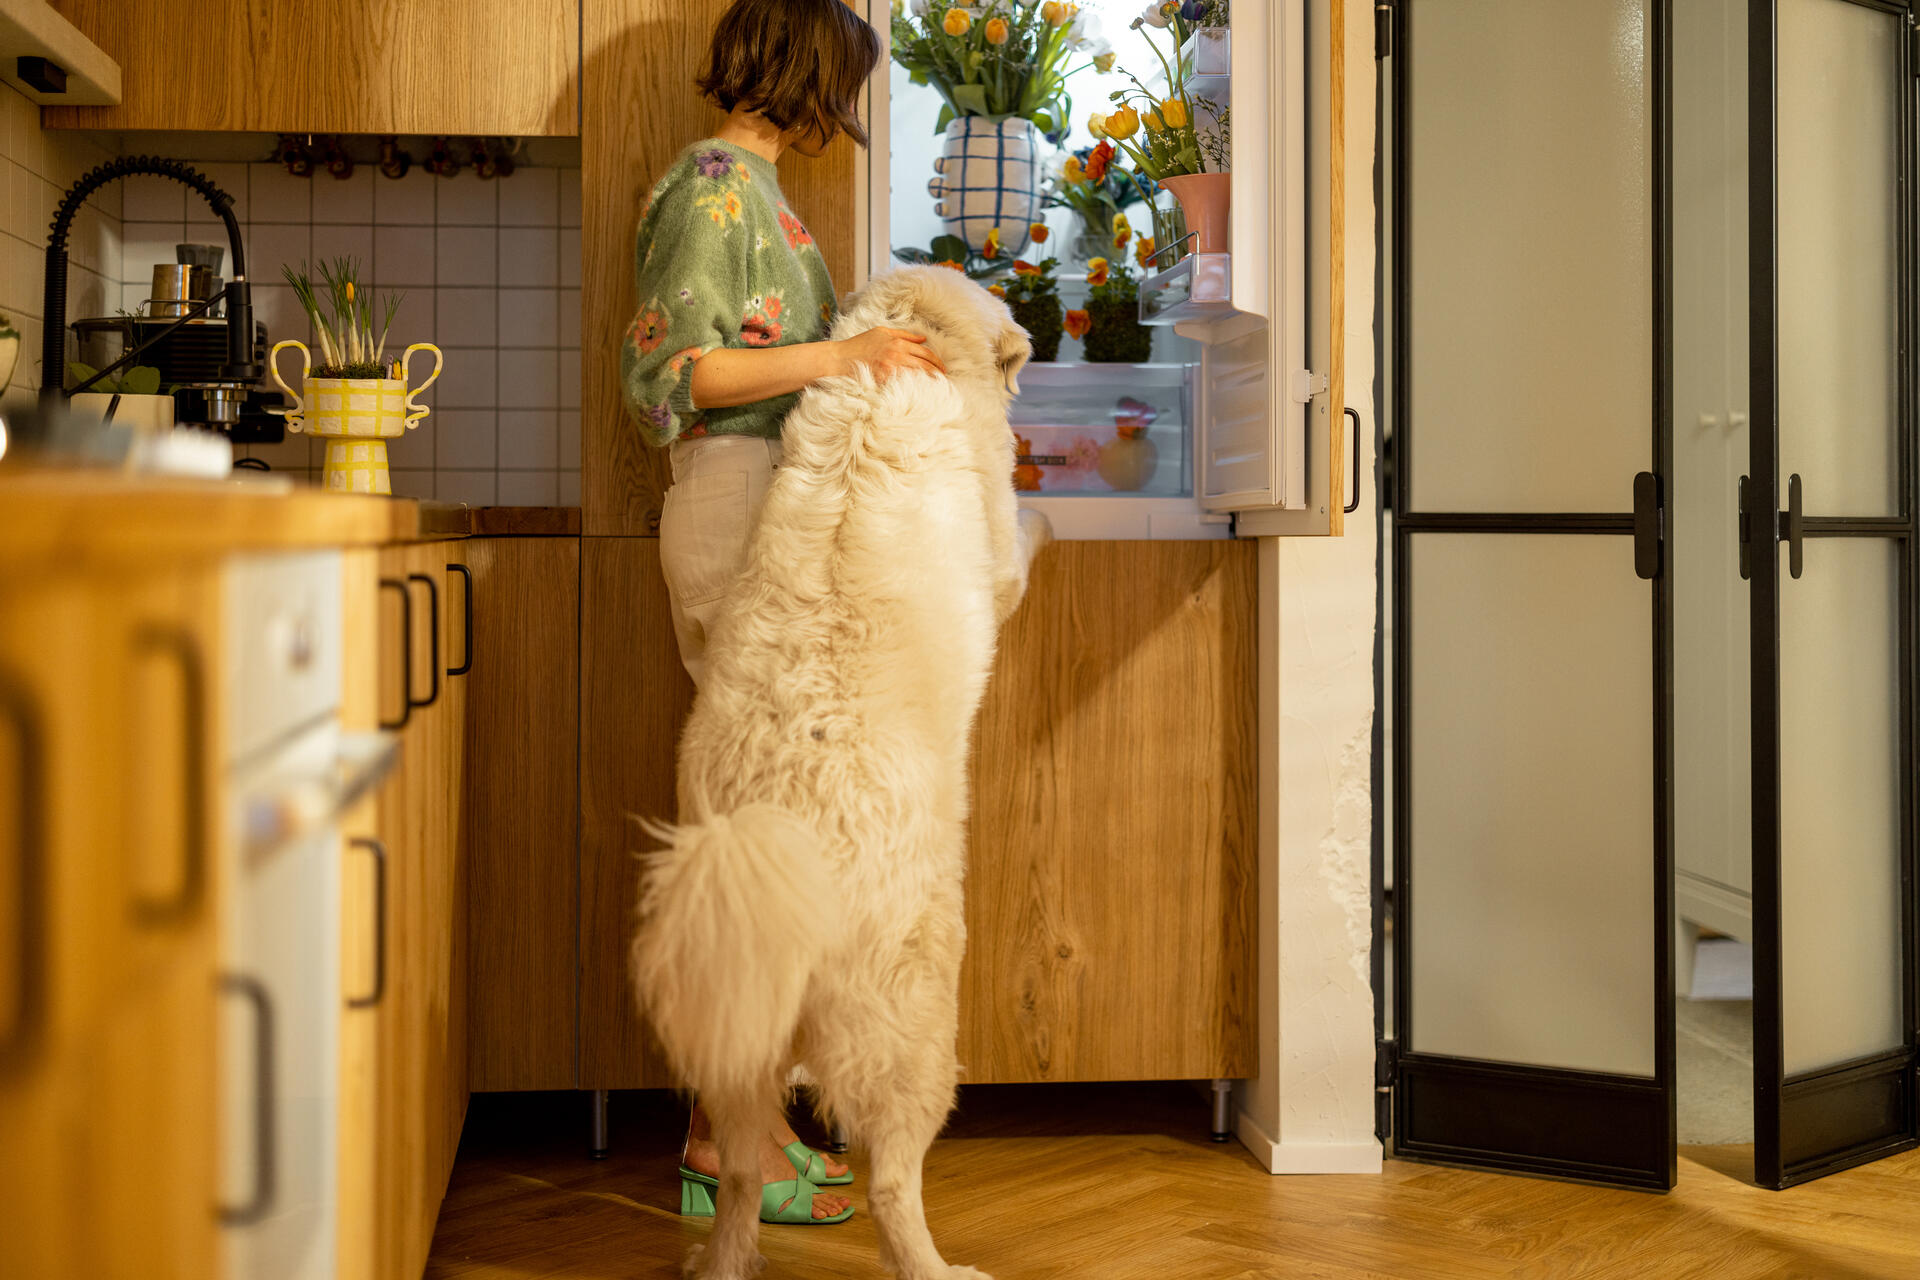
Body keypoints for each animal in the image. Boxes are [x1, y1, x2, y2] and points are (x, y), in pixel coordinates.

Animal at [629, 264, 1052, 1274]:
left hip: (738, 1042)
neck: (901, 365)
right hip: (915, 1022)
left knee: (740, 1177)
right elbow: (1019, 544)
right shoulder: (999, 553)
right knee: (895, 1181)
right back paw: (938, 1266)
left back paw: (723, 1254)